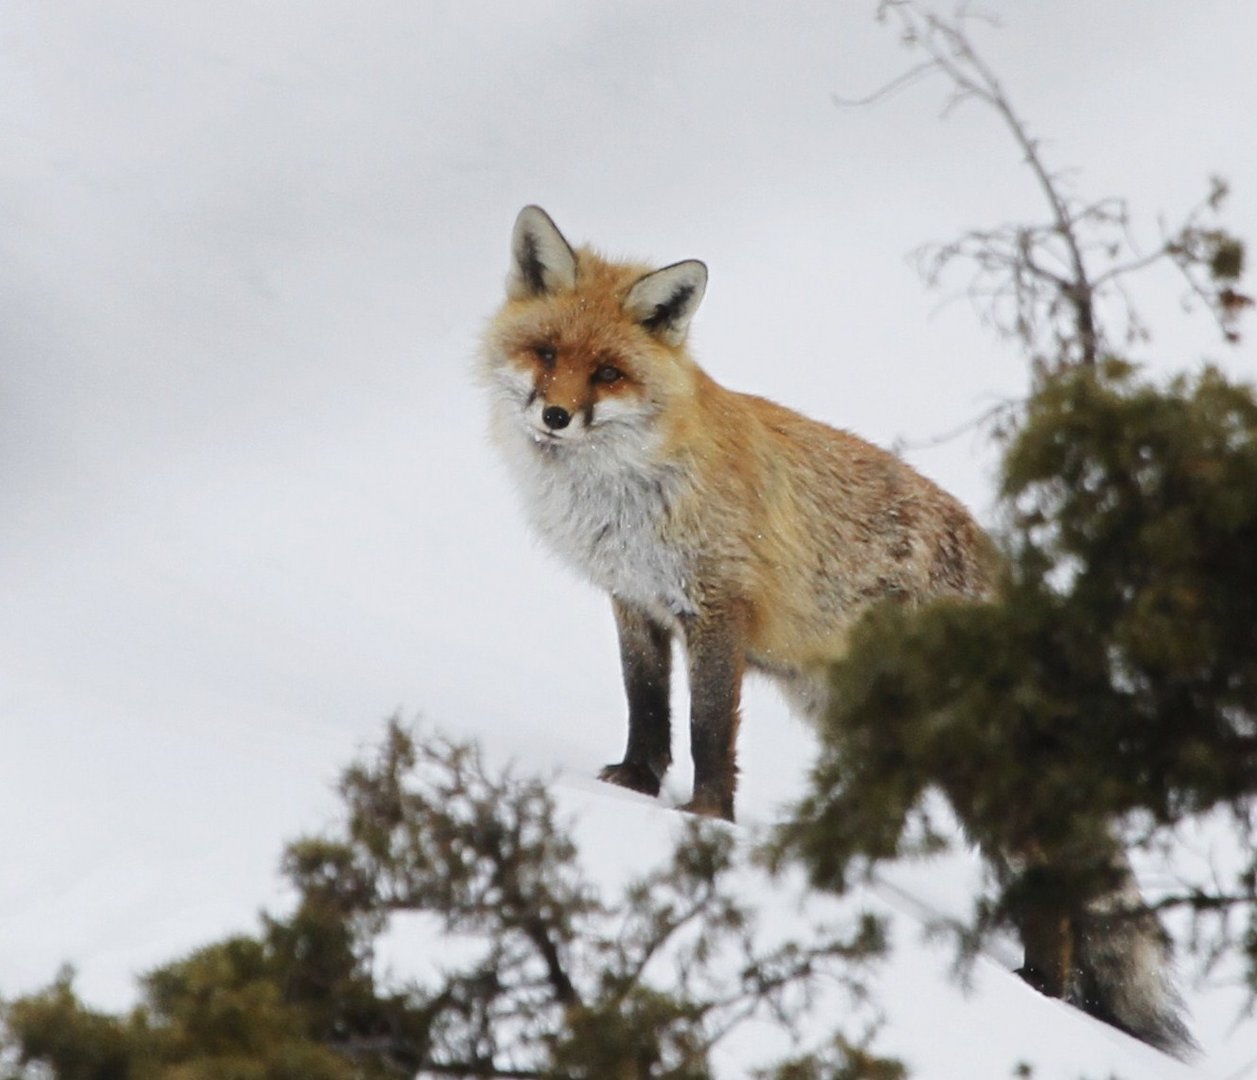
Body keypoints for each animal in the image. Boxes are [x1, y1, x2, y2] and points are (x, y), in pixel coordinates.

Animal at [480, 207, 1196, 1061]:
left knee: (1049, 887)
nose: (554, 416)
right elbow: (647, 708)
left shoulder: (717, 606)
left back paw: (1042, 990)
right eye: (548, 354)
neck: (625, 491)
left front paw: (706, 820)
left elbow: (708, 728)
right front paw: (633, 786)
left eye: (608, 374)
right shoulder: (635, 603)